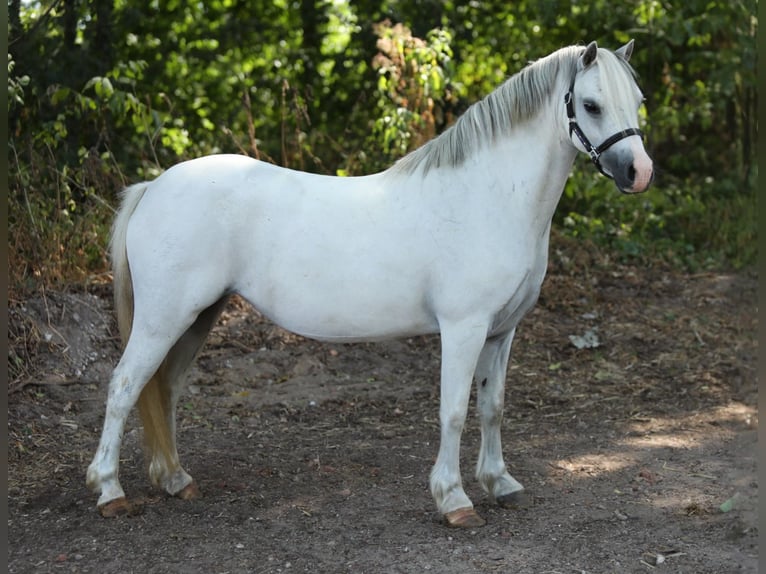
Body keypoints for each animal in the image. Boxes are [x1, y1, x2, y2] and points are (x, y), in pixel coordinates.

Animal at [86, 40, 653, 528]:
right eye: (591, 104)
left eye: (638, 101)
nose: (639, 172)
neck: (488, 195)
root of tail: (153, 186)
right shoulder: (463, 329)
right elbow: (453, 411)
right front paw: (454, 499)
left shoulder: (501, 331)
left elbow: (492, 407)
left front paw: (500, 483)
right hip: (163, 319)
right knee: (124, 385)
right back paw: (110, 490)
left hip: (198, 318)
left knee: (164, 389)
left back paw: (175, 480)